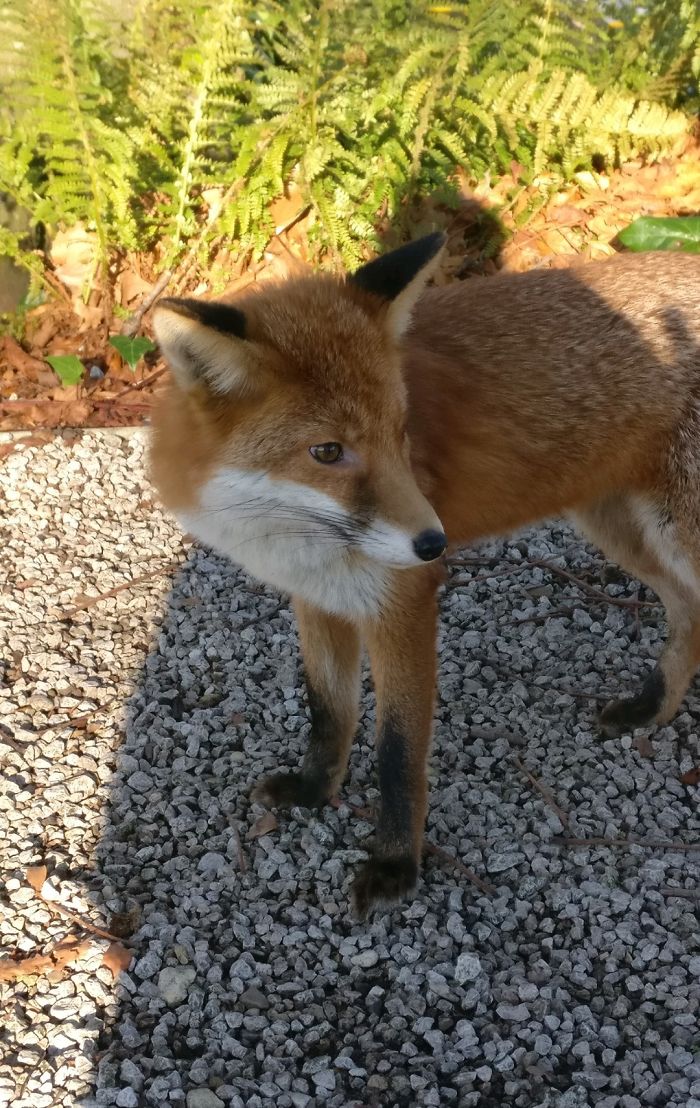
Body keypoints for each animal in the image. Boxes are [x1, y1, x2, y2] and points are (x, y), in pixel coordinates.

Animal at [150, 233, 700, 916]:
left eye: (400, 432)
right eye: (327, 452)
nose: (434, 543)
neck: (295, 538)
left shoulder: (402, 605)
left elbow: (397, 753)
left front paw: (394, 867)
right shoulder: (318, 598)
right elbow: (329, 710)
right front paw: (314, 790)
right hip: (620, 526)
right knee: (689, 615)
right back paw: (652, 709)